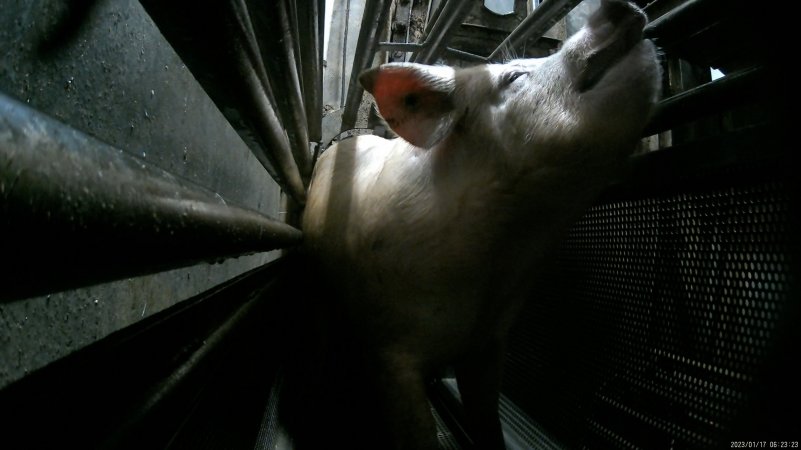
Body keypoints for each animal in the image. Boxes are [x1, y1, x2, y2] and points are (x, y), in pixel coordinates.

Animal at [304, 1, 660, 448]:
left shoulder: (489, 343)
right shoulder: (389, 350)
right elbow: (419, 432)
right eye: (514, 76)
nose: (619, 6)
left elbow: (487, 420)